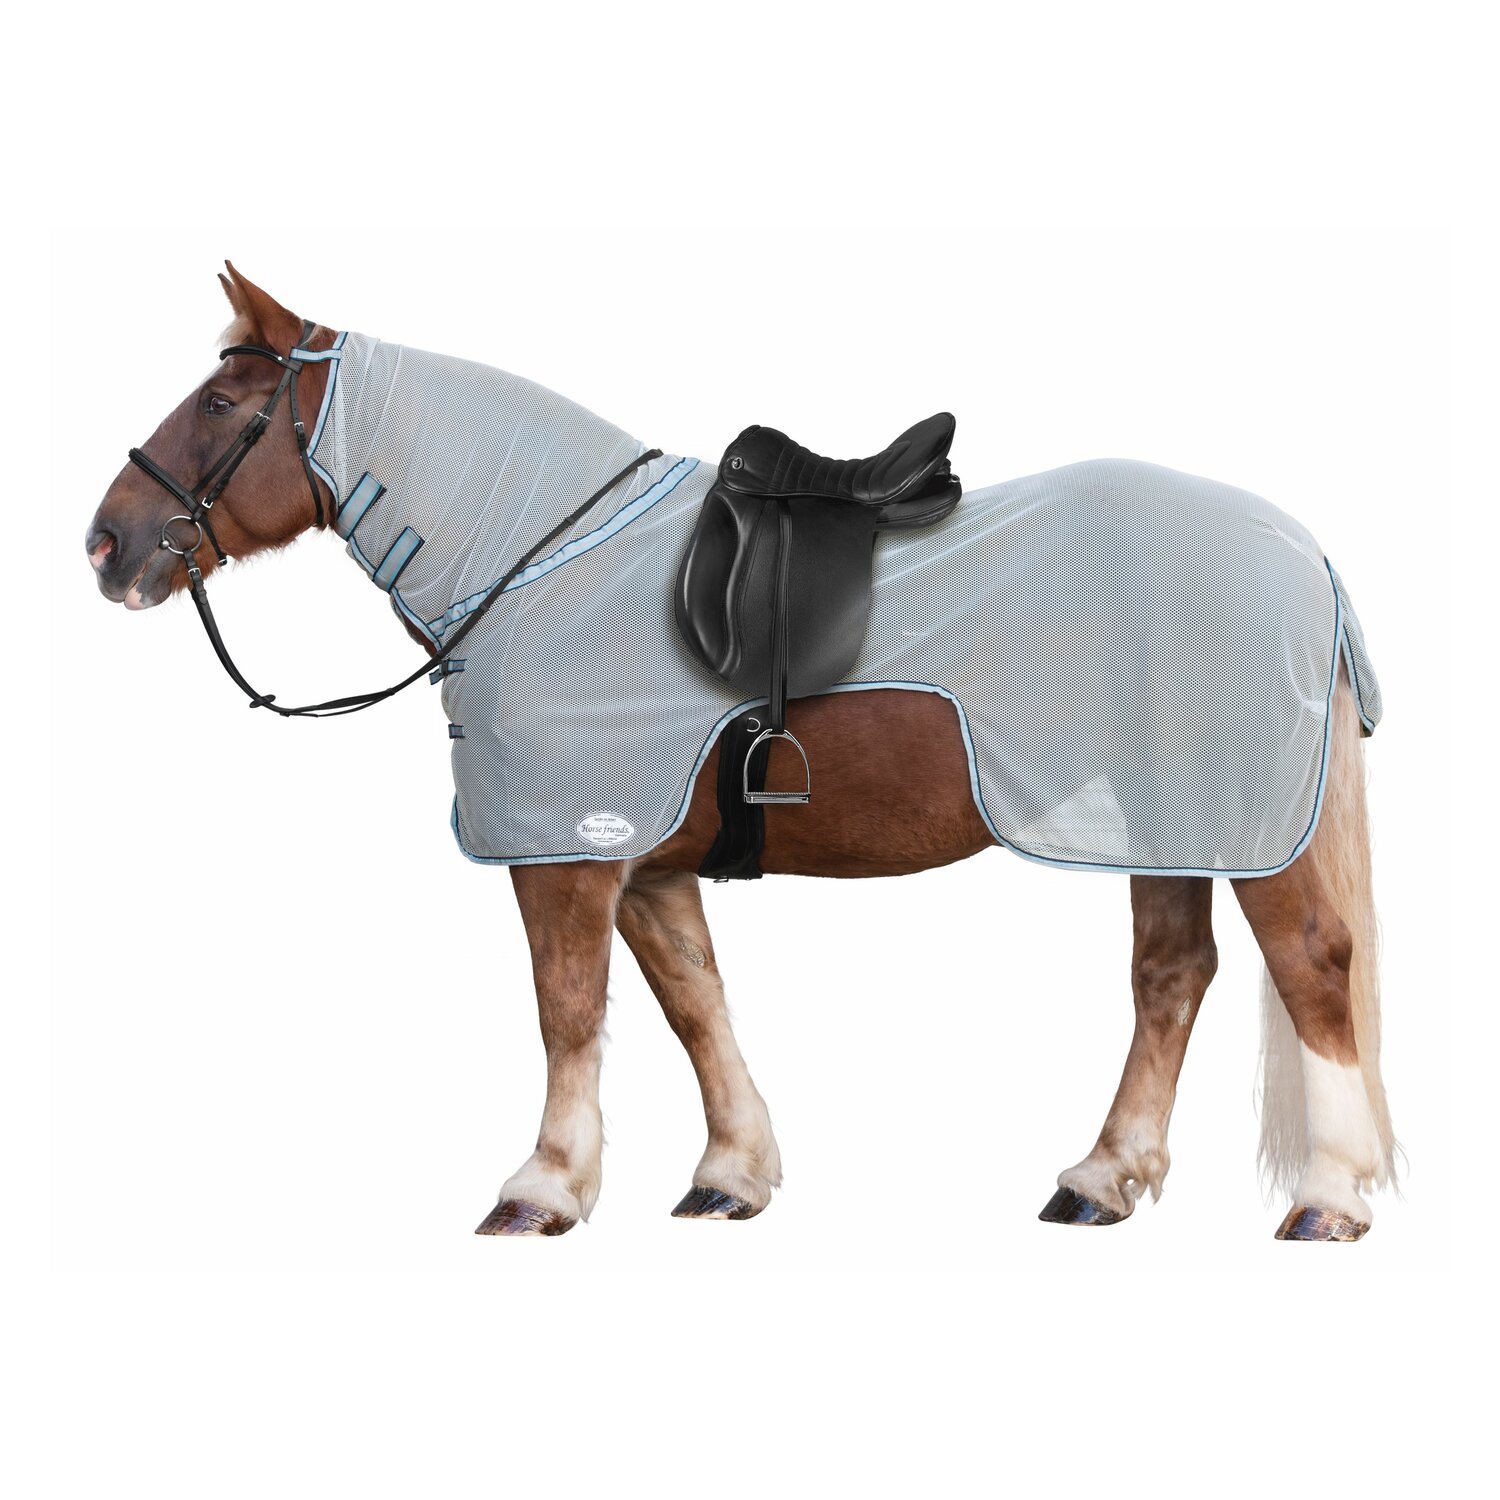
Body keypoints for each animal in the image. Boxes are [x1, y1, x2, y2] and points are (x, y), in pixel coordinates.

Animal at [85, 264, 1397, 1241]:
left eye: (221, 406)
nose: (106, 543)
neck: (545, 560)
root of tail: (1305, 555)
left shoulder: (566, 858)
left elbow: (568, 1011)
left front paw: (543, 1187)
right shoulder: (648, 865)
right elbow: (693, 1004)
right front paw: (729, 1174)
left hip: (1244, 828)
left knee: (1312, 965)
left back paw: (1328, 1198)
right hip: (1160, 822)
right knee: (1172, 977)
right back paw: (1100, 1179)